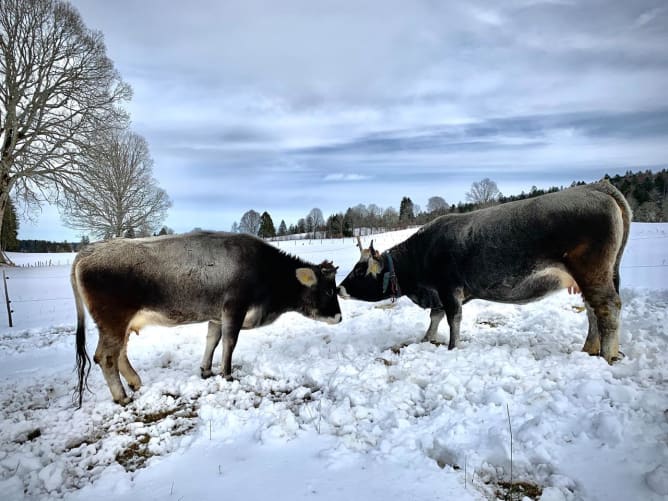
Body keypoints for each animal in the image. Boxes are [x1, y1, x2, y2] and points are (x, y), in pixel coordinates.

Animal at [72, 231, 342, 406]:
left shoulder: (217, 315)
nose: (339, 317)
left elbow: (212, 340)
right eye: (329, 291)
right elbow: (229, 343)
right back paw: (122, 396)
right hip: (113, 321)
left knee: (120, 354)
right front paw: (227, 374)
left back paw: (135, 382)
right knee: (106, 357)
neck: (266, 272)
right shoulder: (234, 309)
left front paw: (206, 369)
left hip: (121, 325)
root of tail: (87, 251)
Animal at [338, 180, 631, 363]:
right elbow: (435, 316)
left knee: (607, 308)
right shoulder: (440, 293)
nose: (339, 288)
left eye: (359, 271)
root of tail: (598, 186)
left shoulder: (449, 288)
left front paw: (452, 347)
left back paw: (606, 356)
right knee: (593, 310)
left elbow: (452, 319)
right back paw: (589, 349)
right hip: (595, 276)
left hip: (592, 272)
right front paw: (427, 338)